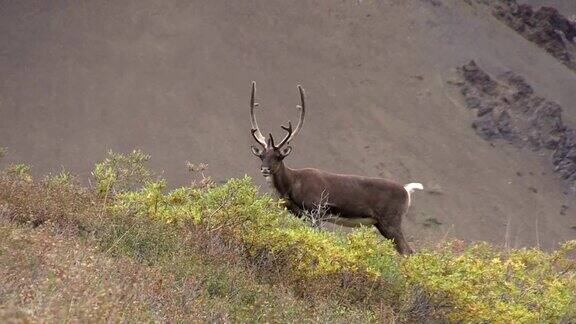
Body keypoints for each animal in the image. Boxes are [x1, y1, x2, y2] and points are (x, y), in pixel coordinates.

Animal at [249, 82, 424, 254]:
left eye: (278, 156)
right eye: (261, 156)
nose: (264, 169)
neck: (291, 185)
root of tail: (407, 191)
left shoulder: (317, 211)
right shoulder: (302, 215)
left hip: (391, 221)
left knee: (409, 251)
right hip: (382, 223)